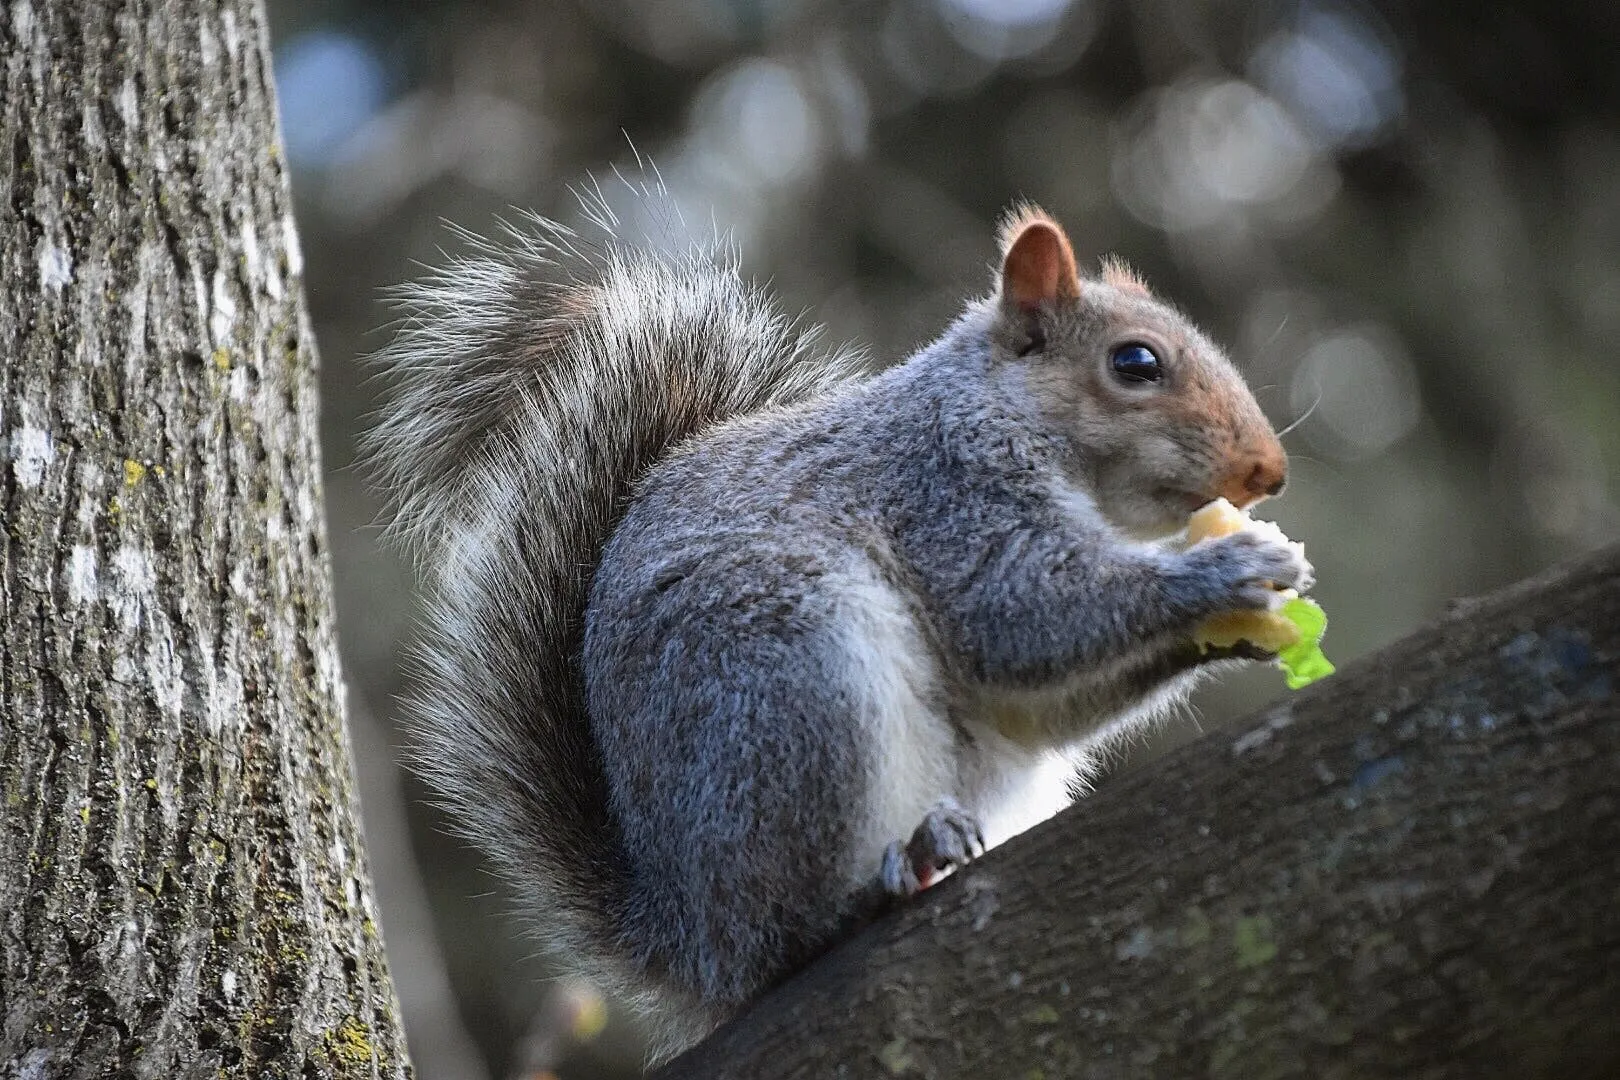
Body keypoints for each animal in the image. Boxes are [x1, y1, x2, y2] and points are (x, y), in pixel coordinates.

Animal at [365, 186, 1311, 1062]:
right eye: (1135, 362)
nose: (1268, 472)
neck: (998, 411)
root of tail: (692, 939)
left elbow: (1044, 696)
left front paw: (1246, 619)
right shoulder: (949, 499)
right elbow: (1024, 616)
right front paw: (1223, 571)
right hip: (799, 689)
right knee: (794, 931)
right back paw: (884, 881)